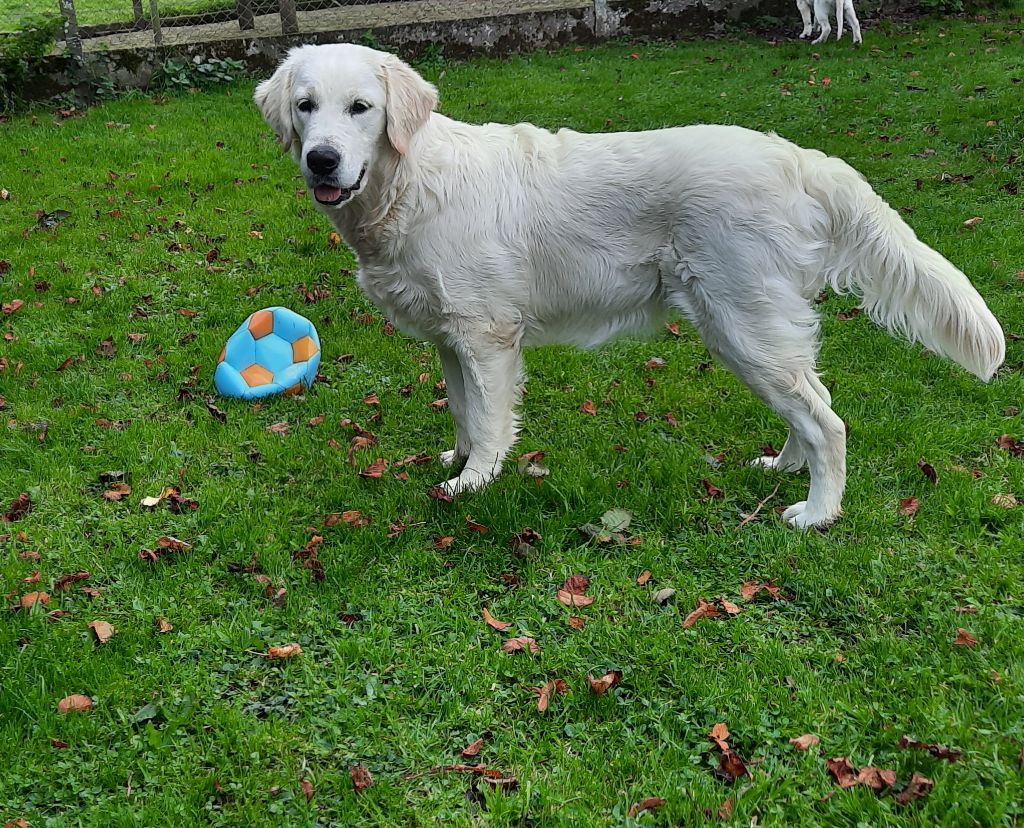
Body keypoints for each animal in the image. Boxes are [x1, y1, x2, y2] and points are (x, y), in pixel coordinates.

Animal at [253, 45, 999, 528]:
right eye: (306, 107)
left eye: (362, 108)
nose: (323, 159)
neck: (407, 182)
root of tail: (800, 157)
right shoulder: (450, 339)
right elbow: (462, 411)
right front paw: (458, 460)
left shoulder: (486, 335)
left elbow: (490, 420)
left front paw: (474, 484)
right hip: (753, 333)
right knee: (812, 406)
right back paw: (784, 468)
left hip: (741, 326)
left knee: (828, 421)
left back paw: (817, 514)